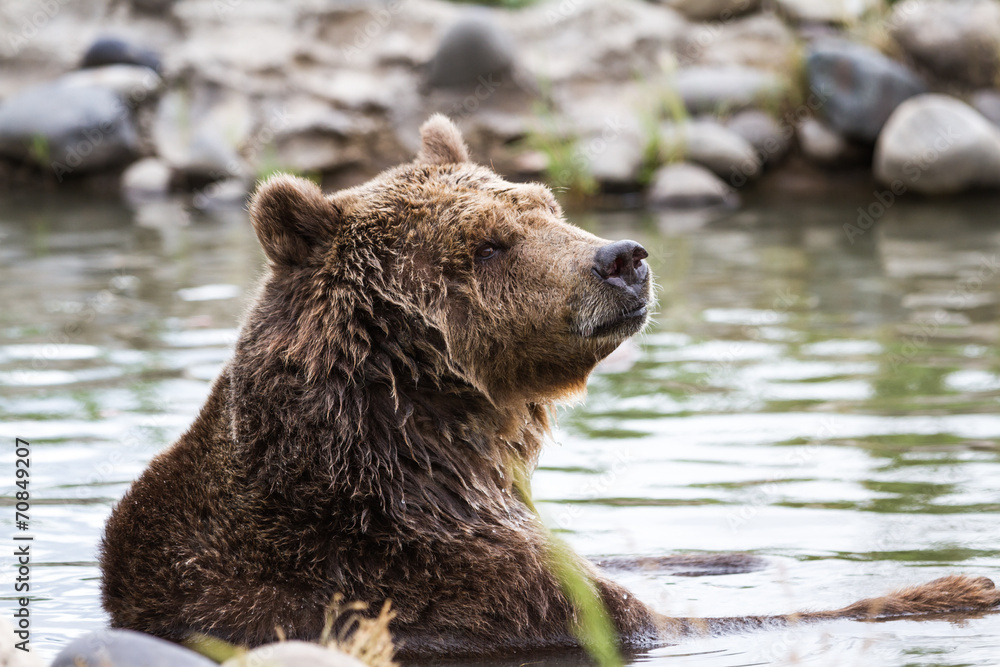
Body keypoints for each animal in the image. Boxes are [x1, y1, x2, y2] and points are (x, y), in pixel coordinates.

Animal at [100, 115, 1000, 658]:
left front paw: (729, 549)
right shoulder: (426, 570)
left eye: (544, 204)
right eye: (489, 242)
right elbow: (655, 616)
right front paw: (953, 584)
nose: (622, 257)